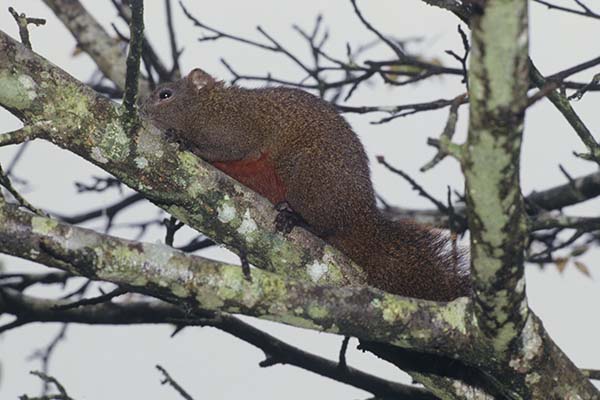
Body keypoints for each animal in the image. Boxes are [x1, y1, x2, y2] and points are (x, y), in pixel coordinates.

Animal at [141, 68, 468, 300]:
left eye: (166, 94)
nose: (141, 109)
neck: (206, 105)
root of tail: (362, 219)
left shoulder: (236, 126)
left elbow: (230, 149)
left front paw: (186, 141)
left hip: (305, 174)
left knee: (323, 224)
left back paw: (296, 218)